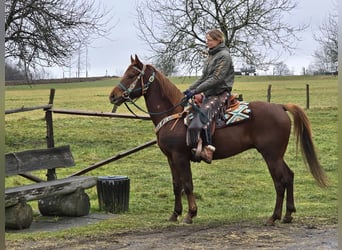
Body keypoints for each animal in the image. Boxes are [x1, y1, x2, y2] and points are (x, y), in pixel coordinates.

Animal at [109, 55, 326, 226]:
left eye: (131, 75)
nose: (113, 96)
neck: (175, 115)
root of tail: (280, 107)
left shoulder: (181, 157)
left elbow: (187, 184)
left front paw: (190, 214)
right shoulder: (170, 158)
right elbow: (176, 185)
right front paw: (174, 214)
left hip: (271, 155)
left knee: (280, 182)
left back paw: (273, 217)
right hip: (277, 155)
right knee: (289, 176)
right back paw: (288, 215)